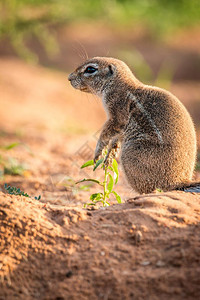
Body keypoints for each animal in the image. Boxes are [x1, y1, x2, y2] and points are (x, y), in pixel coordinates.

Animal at [68, 57, 198, 193]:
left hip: (129, 155)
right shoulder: (120, 128)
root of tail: (179, 181)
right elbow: (115, 139)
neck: (116, 84)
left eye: (90, 69)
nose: (69, 78)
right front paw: (110, 155)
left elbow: (106, 133)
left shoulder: (117, 115)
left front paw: (99, 152)